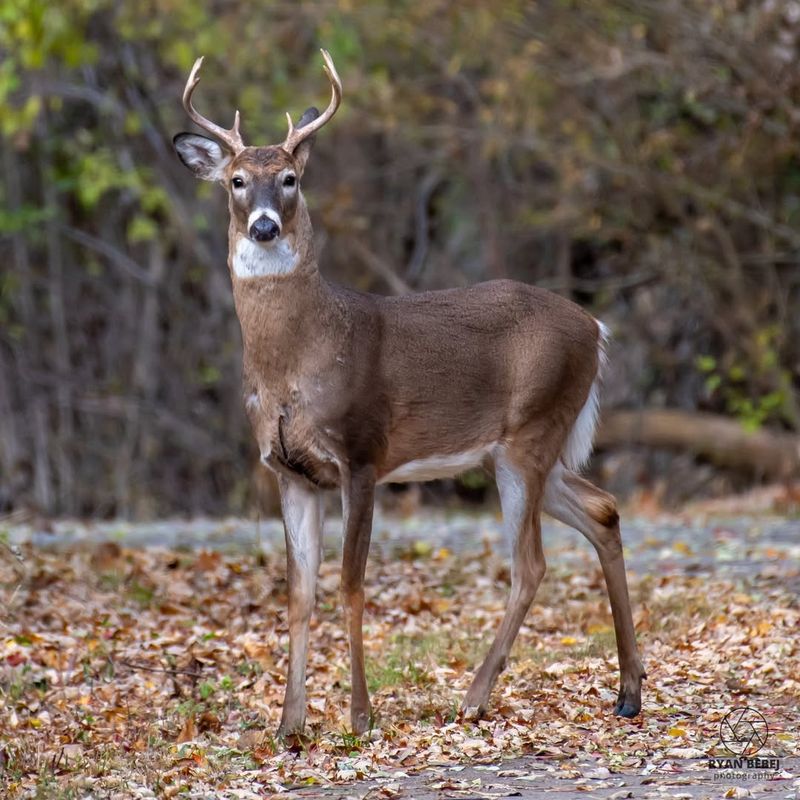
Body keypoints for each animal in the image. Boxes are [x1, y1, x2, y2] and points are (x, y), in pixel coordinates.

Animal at [173, 50, 646, 739]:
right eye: (236, 180)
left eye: (289, 179)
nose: (263, 226)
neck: (298, 359)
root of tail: (597, 327)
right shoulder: (289, 471)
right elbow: (298, 592)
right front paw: (290, 726)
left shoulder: (362, 451)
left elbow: (351, 583)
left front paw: (359, 715)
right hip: (527, 447)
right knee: (603, 510)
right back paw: (629, 691)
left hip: (530, 433)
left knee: (530, 564)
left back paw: (474, 696)